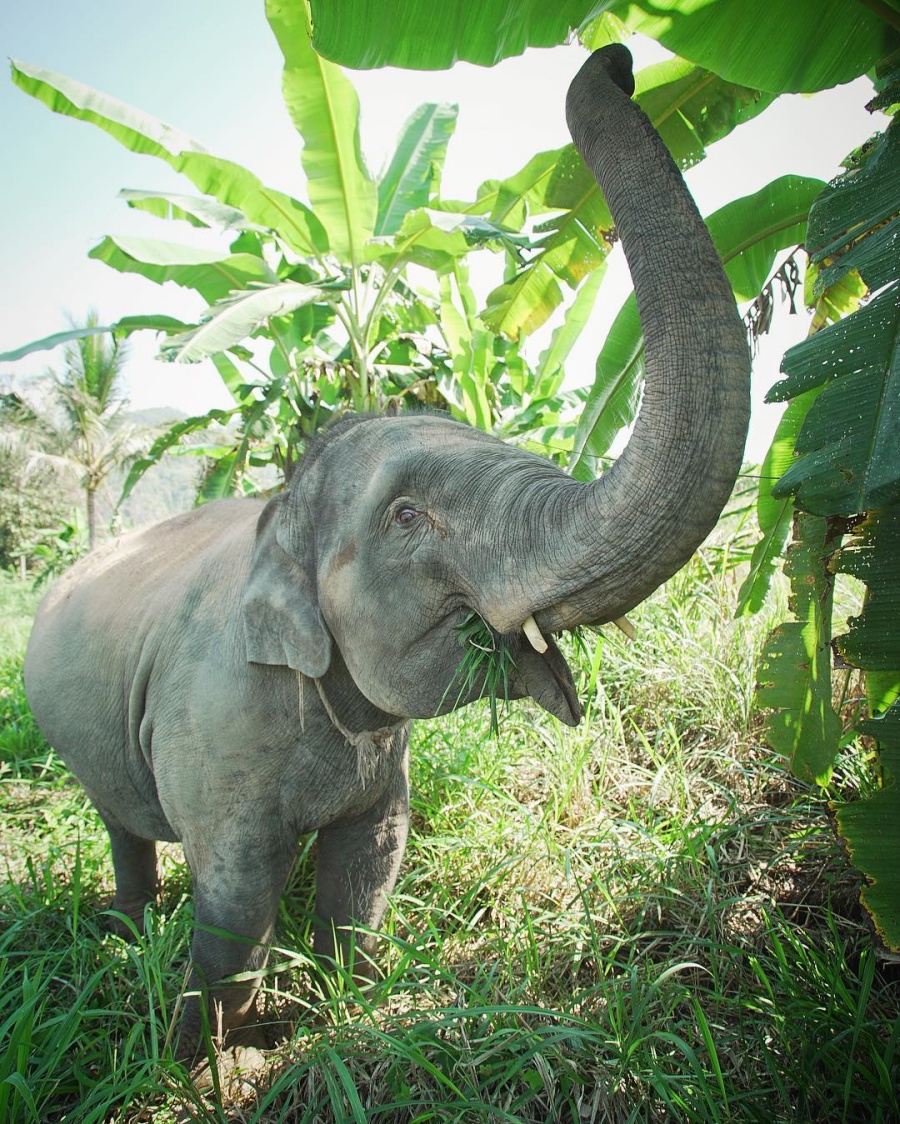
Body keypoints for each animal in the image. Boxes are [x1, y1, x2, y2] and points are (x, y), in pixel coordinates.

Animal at [22, 46, 750, 1061]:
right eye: (406, 516)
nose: (618, 58)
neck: (278, 514)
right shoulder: (215, 730)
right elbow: (235, 901)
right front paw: (203, 1062)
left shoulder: (378, 762)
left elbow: (372, 863)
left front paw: (341, 1017)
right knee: (122, 828)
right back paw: (127, 935)